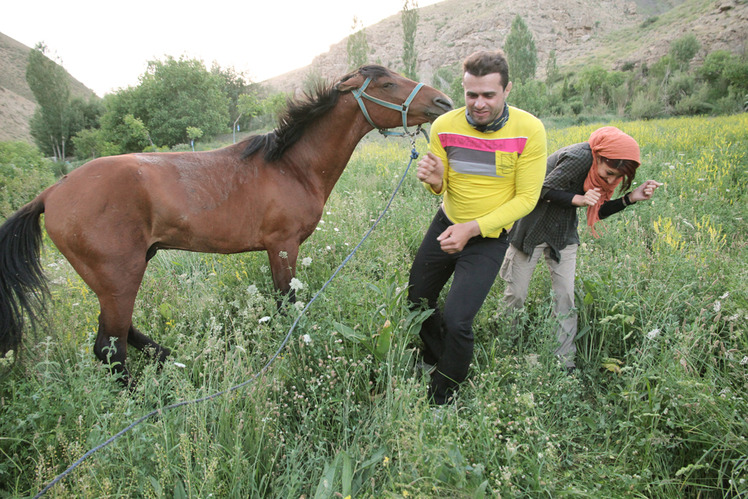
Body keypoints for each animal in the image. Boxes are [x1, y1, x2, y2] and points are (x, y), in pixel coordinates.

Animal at [0, 65, 450, 382]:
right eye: (387, 84)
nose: (443, 102)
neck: (290, 166)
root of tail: (50, 194)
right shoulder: (282, 246)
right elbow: (286, 306)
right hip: (119, 278)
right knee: (109, 349)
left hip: (117, 278)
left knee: (118, 336)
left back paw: (169, 360)